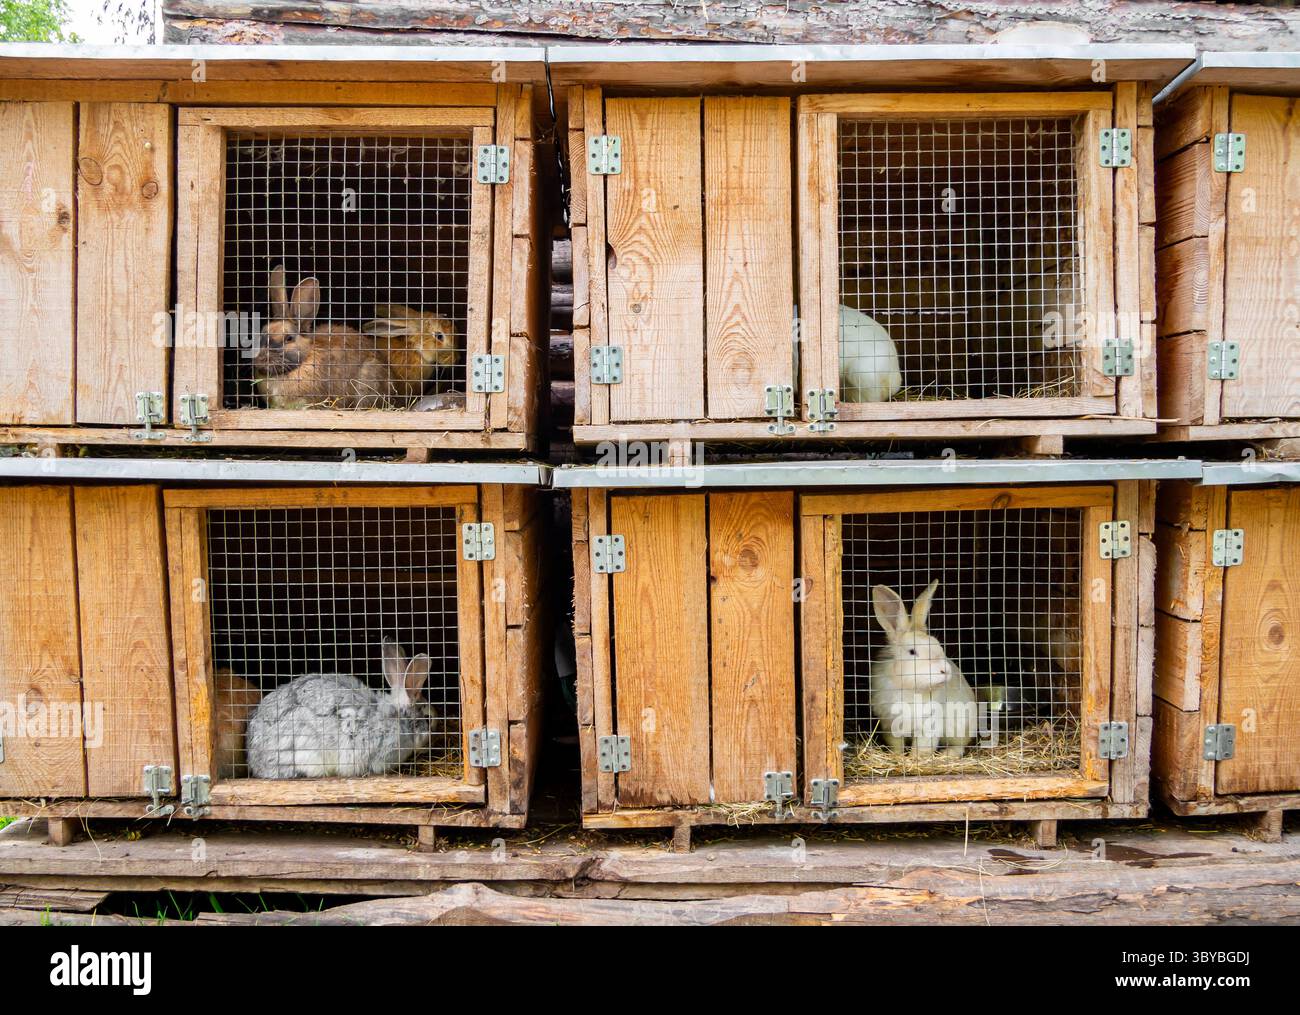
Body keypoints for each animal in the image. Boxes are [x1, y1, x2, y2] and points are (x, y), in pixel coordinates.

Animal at [868, 581, 977, 758]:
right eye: (912, 652)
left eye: (938, 645)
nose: (945, 670)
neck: (909, 688)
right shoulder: (890, 725)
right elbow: (896, 745)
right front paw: (897, 757)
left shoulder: (929, 725)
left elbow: (922, 747)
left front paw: (914, 759)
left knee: (960, 746)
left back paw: (948, 754)